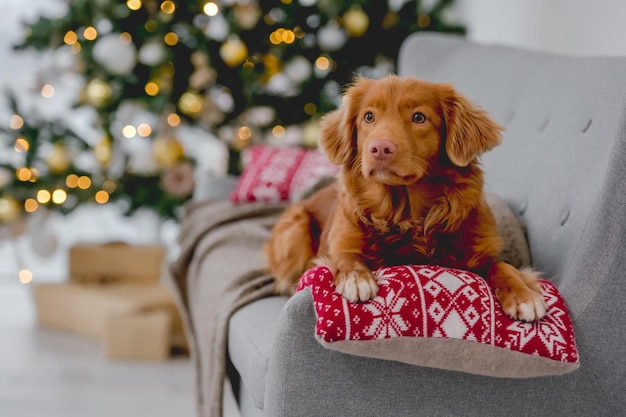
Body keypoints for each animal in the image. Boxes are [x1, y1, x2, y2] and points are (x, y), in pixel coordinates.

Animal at [266, 75, 544, 322]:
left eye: (418, 117)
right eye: (368, 117)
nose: (379, 148)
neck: (404, 212)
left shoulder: (479, 256)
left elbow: (503, 266)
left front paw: (524, 295)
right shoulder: (340, 244)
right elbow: (345, 257)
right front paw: (356, 278)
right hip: (296, 226)